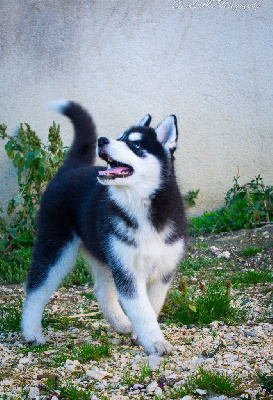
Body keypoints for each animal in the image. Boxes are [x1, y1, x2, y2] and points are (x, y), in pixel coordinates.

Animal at [21, 101, 187, 354]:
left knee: (101, 290)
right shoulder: (127, 271)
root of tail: (72, 167)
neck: (140, 206)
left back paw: (121, 322)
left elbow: (152, 306)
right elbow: (143, 310)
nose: (102, 140)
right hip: (56, 244)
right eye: (120, 137)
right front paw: (156, 342)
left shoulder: (162, 271)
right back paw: (31, 332)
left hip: (103, 252)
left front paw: (142, 336)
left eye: (136, 144)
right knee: (36, 287)